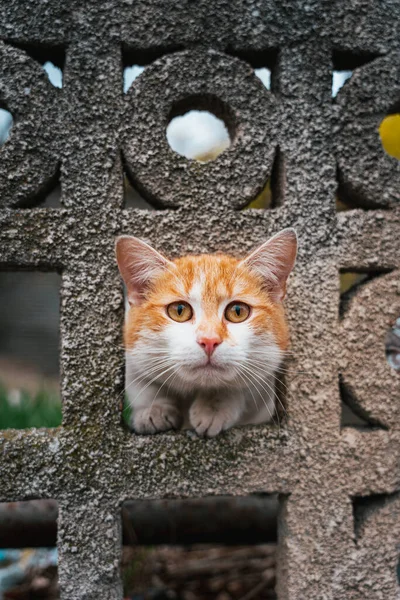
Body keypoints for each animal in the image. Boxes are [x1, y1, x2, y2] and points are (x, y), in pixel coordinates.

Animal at [115, 227, 296, 438]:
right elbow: (142, 382)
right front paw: (153, 409)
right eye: (179, 310)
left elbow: (244, 386)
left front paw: (214, 406)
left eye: (238, 311)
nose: (209, 341)